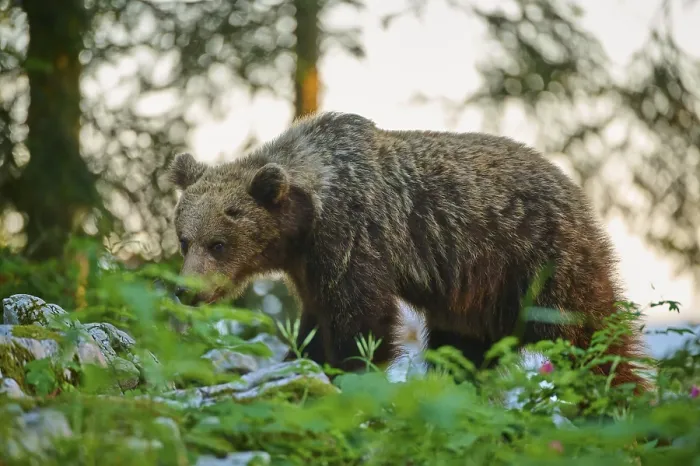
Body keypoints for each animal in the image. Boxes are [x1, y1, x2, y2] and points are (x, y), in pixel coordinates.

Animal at [168, 111, 649, 392]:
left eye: (218, 243)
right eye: (184, 239)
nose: (186, 290)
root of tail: (574, 189)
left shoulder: (354, 236)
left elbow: (362, 321)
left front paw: (350, 373)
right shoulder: (310, 265)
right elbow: (313, 323)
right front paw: (295, 362)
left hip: (537, 259)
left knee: (588, 331)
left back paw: (618, 396)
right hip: (475, 293)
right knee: (463, 350)